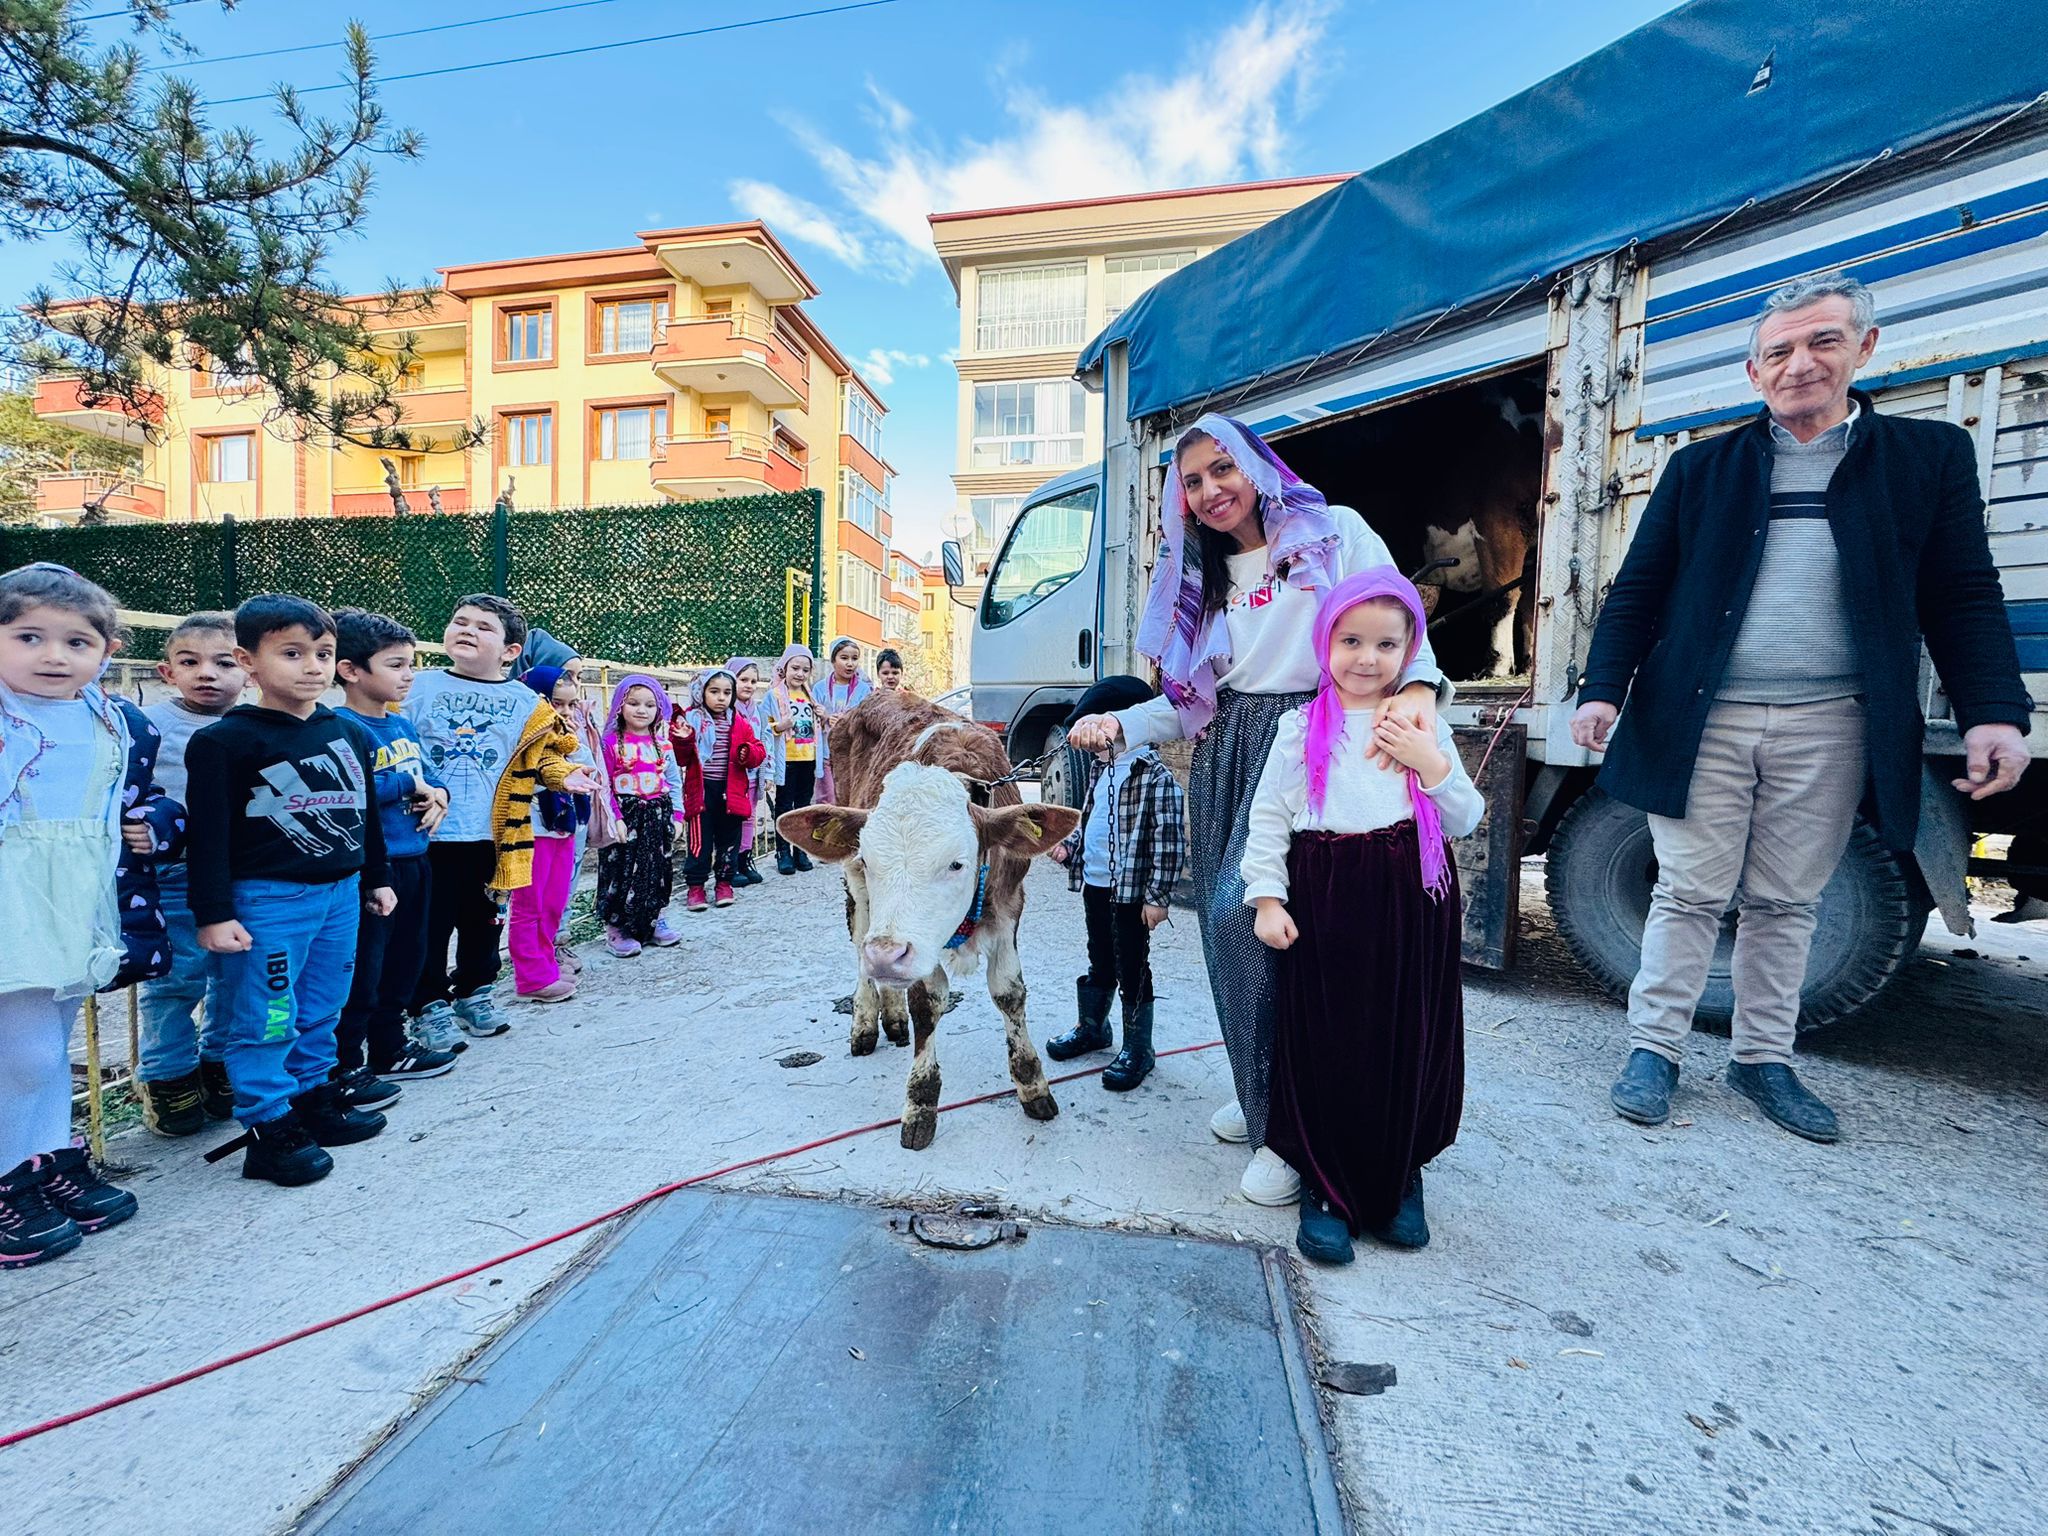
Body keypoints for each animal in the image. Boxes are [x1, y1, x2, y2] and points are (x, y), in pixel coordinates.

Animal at [774, 692, 1081, 1146]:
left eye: (956, 863)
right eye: (870, 858)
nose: (885, 957)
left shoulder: (1010, 903)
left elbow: (1009, 992)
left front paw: (1032, 1086)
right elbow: (926, 1004)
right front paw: (920, 1103)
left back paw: (893, 1016)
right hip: (858, 892)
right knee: (860, 937)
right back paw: (866, 1021)